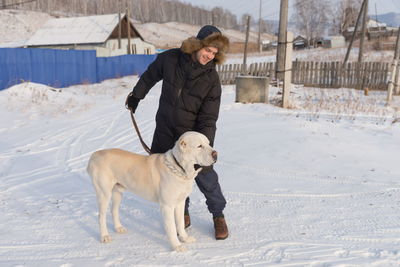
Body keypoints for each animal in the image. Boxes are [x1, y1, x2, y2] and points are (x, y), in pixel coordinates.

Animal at [86, 132, 217, 253]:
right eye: (199, 146)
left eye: (208, 143)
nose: (216, 154)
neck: (178, 168)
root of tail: (94, 155)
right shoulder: (167, 206)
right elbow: (172, 228)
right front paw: (177, 246)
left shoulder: (180, 202)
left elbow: (180, 223)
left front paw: (185, 238)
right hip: (104, 193)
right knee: (101, 216)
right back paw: (105, 236)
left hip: (118, 191)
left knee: (114, 210)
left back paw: (119, 228)